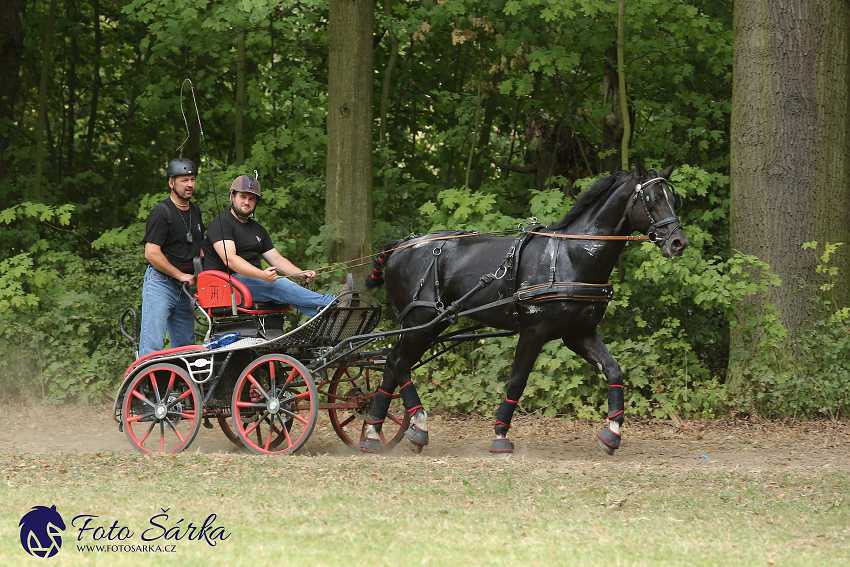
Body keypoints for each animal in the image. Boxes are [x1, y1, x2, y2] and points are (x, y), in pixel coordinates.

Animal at [358, 165, 684, 458]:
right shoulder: (534, 331)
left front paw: (612, 432)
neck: (570, 257)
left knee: (391, 365)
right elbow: (517, 380)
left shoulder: (579, 333)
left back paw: (373, 434)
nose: (679, 242)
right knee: (398, 363)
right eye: (653, 199)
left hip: (427, 324)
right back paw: (418, 425)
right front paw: (501, 435)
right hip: (422, 320)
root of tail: (401, 246)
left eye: (675, 197)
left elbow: (613, 369)